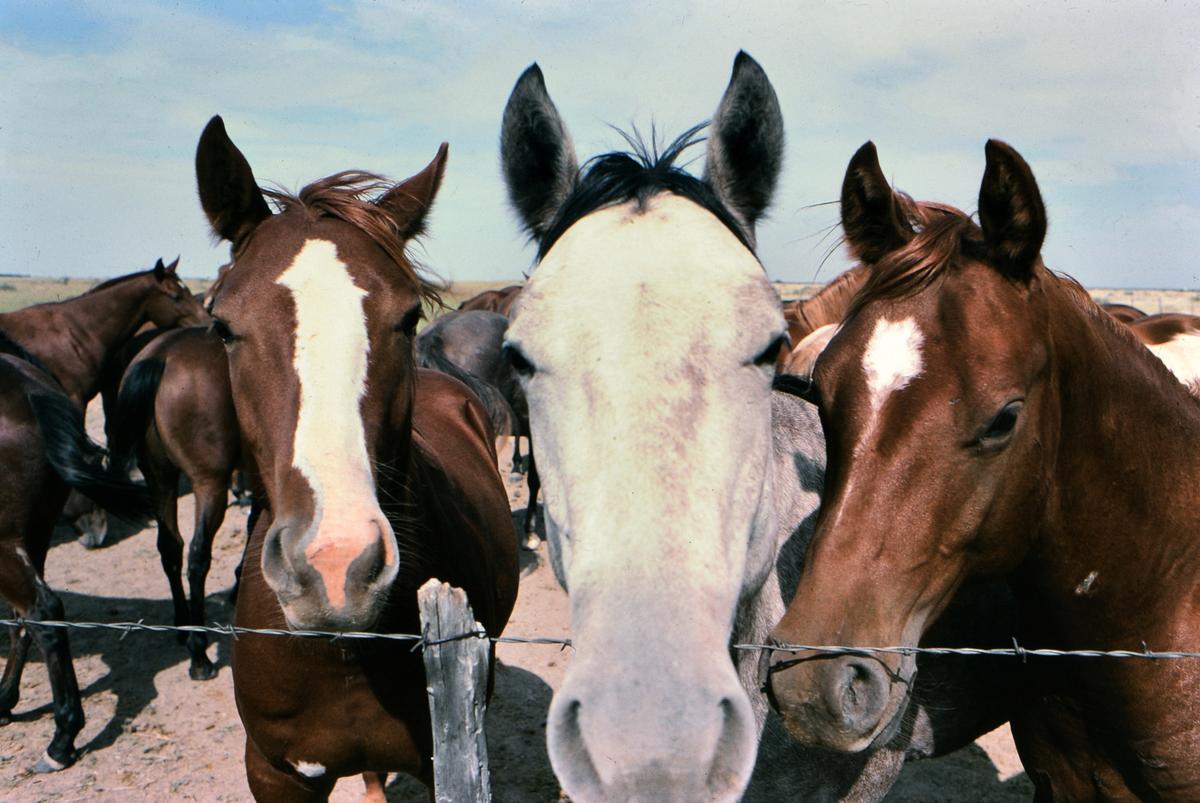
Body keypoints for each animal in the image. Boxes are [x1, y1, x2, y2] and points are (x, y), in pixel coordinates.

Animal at [108, 325, 244, 680]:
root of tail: (161, 356)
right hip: (209, 484)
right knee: (197, 555)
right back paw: (199, 653)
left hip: (160, 479)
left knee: (170, 547)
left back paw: (183, 628)